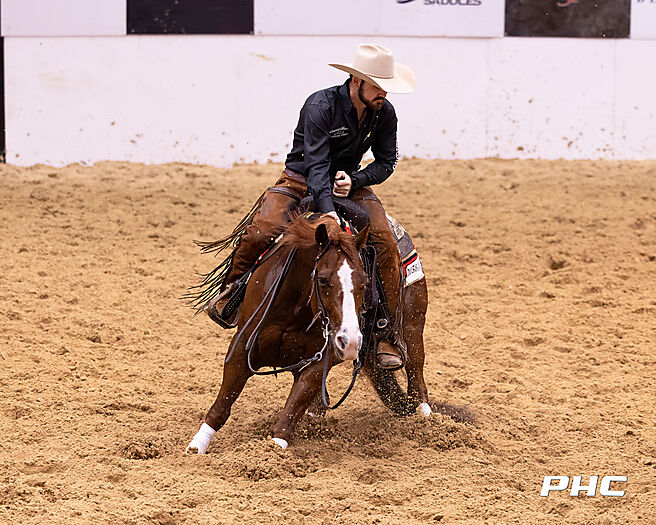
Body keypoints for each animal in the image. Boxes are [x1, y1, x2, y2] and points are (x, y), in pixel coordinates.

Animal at [186, 213, 433, 454]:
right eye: (322, 279)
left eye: (364, 283)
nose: (351, 341)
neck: (293, 308)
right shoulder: (240, 349)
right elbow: (221, 407)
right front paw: (196, 447)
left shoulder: (321, 359)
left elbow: (291, 411)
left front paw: (274, 450)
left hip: (413, 323)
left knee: (416, 373)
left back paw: (427, 422)